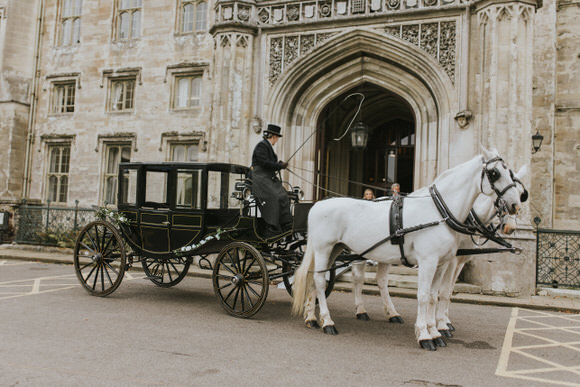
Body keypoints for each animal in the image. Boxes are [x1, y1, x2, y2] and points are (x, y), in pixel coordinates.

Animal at [292, 149, 524, 352]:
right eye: (495, 173)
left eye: (511, 174)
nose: (515, 206)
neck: (439, 211)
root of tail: (317, 205)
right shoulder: (429, 261)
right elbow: (423, 295)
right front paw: (425, 335)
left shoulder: (442, 263)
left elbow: (435, 295)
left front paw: (436, 331)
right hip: (323, 248)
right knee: (321, 281)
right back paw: (328, 322)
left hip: (335, 249)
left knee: (316, 278)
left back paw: (312, 318)